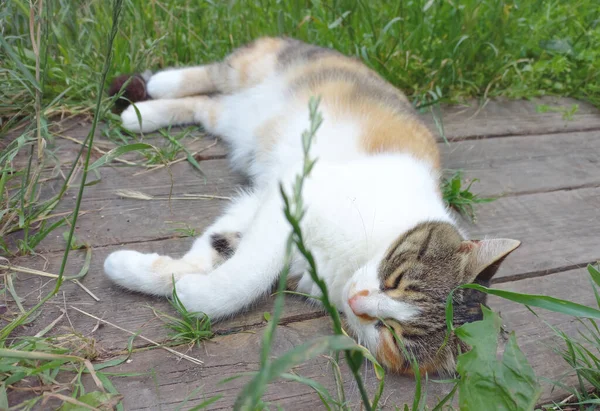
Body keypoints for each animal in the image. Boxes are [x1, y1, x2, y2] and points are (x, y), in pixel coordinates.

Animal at [104, 37, 520, 374]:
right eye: (398, 279)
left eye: (392, 334)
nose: (357, 301)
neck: (361, 253)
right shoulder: (292, 195)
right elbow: (247, 275)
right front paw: (188, 293)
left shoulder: (262, 204)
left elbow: (216, 246)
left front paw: (159, 278)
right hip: (259, 66)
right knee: (217, 73)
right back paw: (158, 85)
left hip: (229, 116)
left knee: (208, 105)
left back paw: (142, 116)